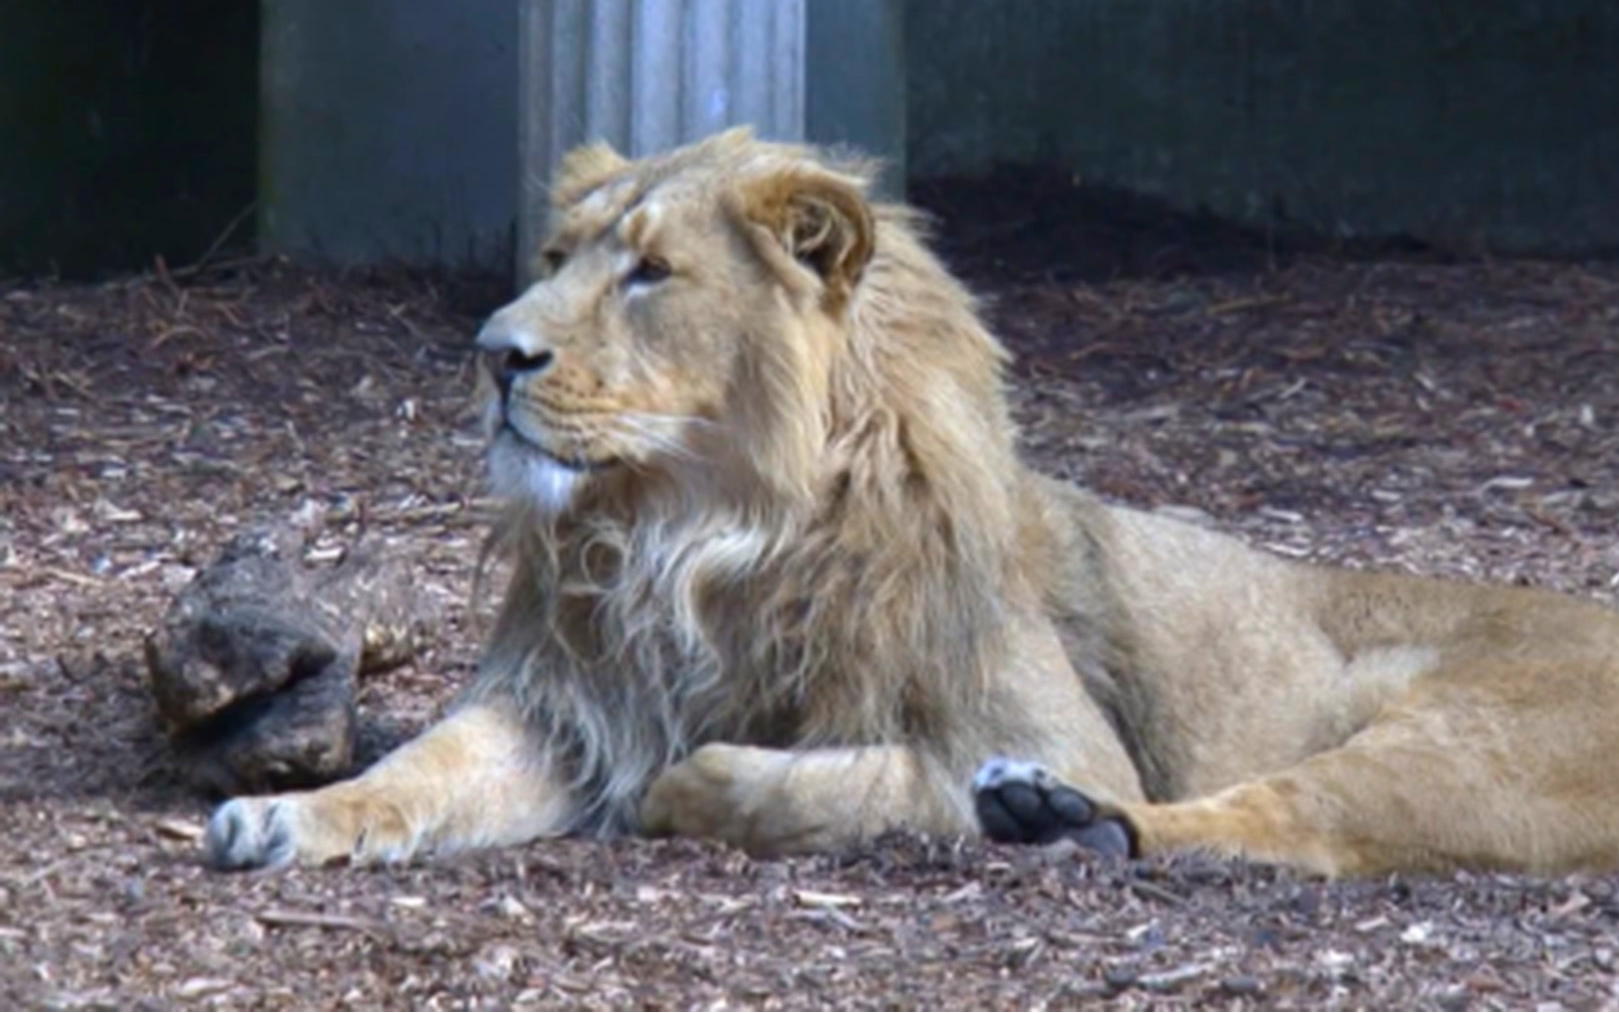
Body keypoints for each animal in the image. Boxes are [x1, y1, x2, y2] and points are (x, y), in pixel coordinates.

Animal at [208, 130, 1619, 873]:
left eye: (651, 273)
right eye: (556, 259)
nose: (494, 350)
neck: (696, 528)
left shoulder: (1043, 723)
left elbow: (805, 772)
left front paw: (711, 780)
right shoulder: (569, 706)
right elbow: (418, 766)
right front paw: (285, 814)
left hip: (1454, 742)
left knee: (1285, 824)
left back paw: (1064, 822)